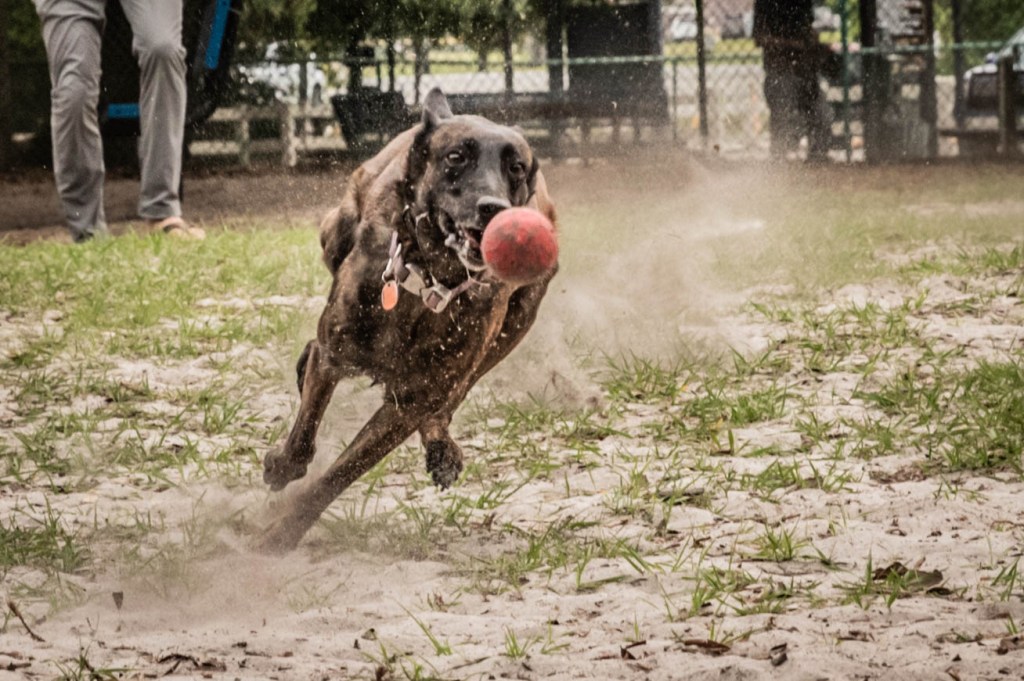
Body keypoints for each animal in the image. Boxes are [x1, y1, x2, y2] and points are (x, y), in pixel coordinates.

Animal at [259, 88, 558, 552]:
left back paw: (441, 446)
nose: (494, 209)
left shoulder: (410, 403)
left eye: (516, 167)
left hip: (515, 325)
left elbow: (338, 476)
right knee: (314, 346)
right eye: (455, 157)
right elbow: (304, 435)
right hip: (335, 232)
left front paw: (283, 534)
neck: (430, 280)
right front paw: (281, 466)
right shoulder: (335, 353)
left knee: (456, 394)